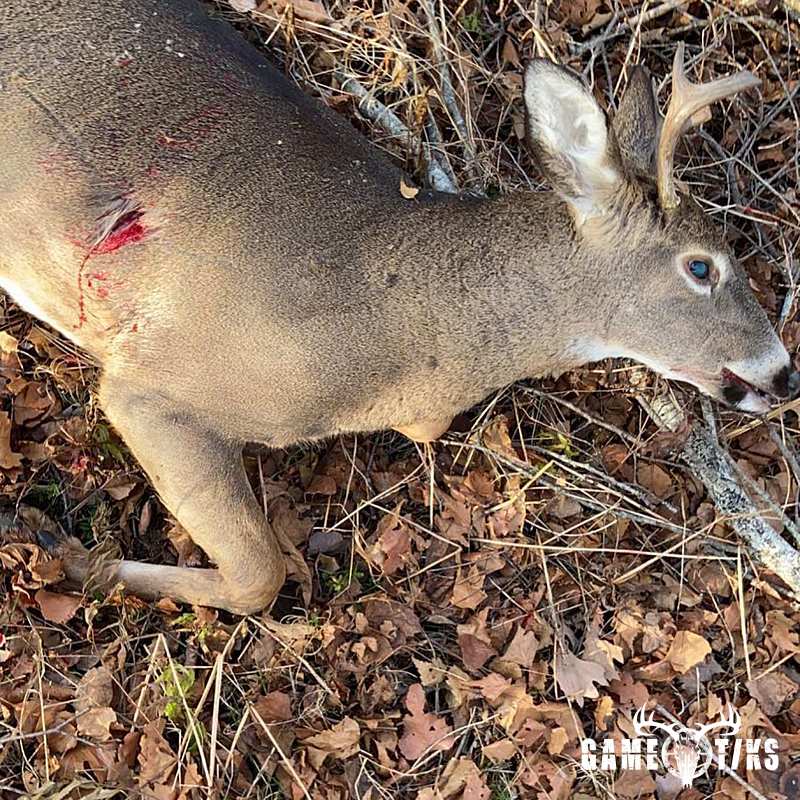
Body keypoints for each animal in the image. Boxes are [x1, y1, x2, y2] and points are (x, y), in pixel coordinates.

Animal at [2, 0, 796, 614]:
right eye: (702, 266)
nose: (784, 373)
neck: (406, 330)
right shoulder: (153, 382)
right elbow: (261, 575)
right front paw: (66, 551)